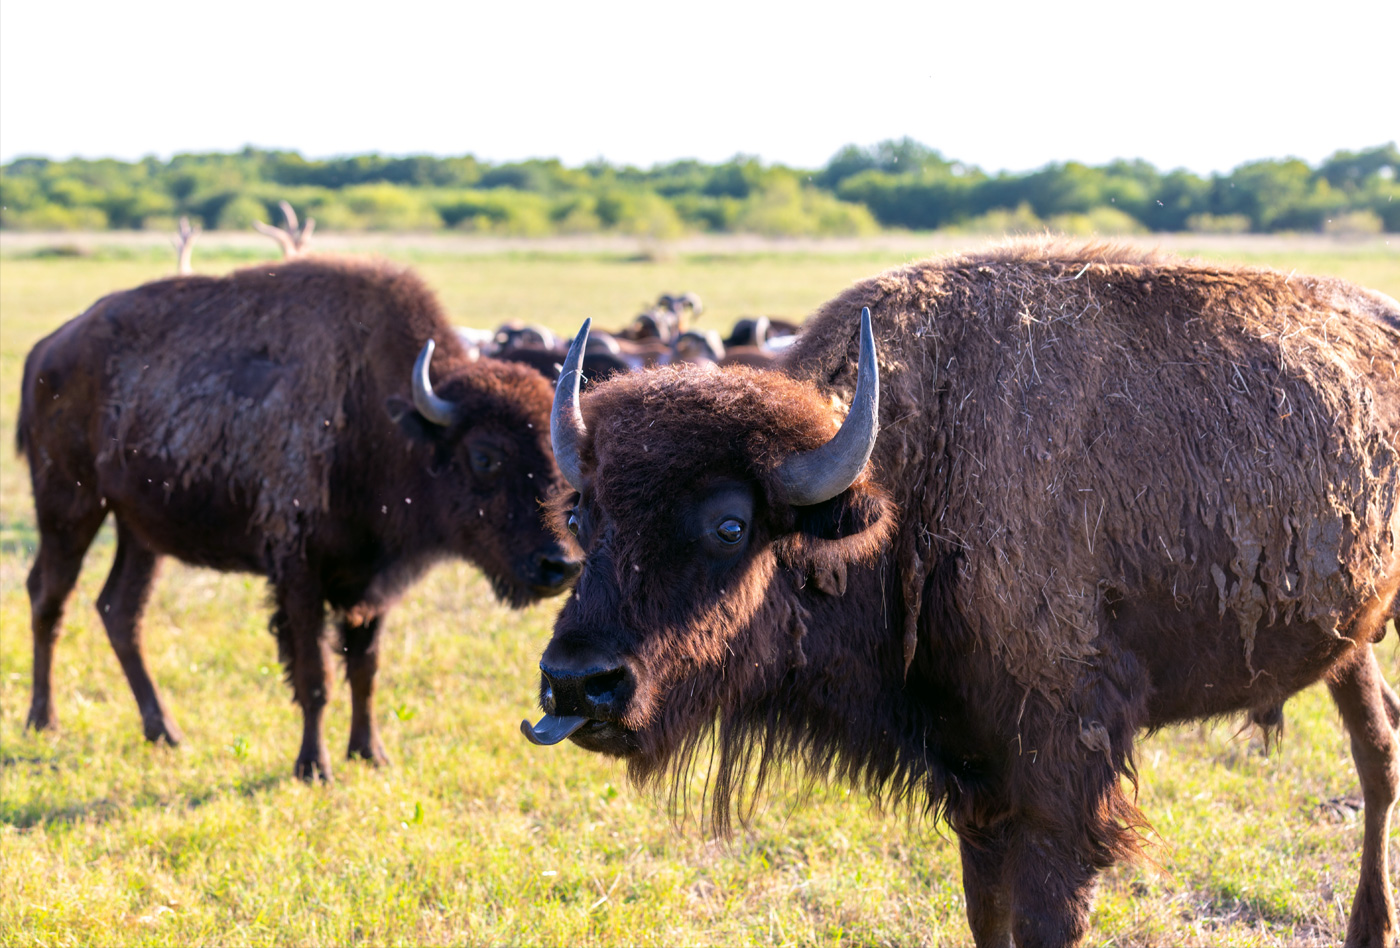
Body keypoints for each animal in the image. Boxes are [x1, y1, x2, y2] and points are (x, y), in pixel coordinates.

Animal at [19, 256, 579, 780]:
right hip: (68, 507)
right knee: (49, 597)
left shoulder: (370, 586)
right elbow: (315, 678)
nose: (561, 566)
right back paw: (43, 722)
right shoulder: (299, 575)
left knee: (120, 611)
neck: (380, 416)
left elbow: (365, 670)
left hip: (139, 531)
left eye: (556, 459)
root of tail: (47, 350)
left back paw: (165, 732)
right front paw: (314, 767)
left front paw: (371, 754)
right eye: (485, 456)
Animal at [524, 240, 1400, 946]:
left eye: (730, 525)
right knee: (1378, 748)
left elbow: (1046, 918)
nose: (578, 682)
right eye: (582, 513)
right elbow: (988, 916)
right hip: (1350, 645)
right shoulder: (974, 780)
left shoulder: (1059, 784)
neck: (912, 481)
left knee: (1377, 760)